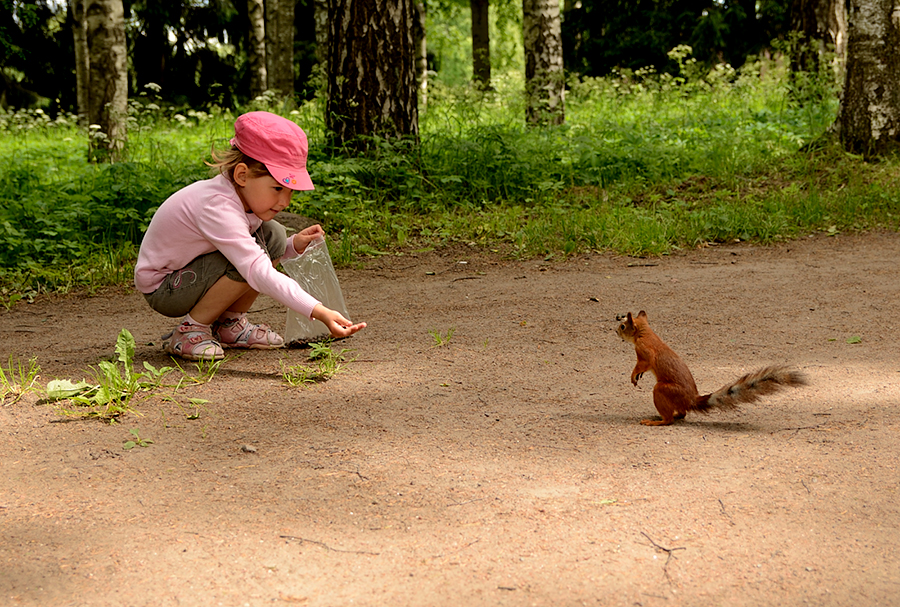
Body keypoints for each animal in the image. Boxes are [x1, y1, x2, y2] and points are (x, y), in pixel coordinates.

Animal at [616, 314, 804, 428]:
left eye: (623, 326)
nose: (615, 331)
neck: (645, 333)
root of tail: (690, 400)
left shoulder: (644, 352)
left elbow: (642, 364)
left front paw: (634, 376)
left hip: (662, 390)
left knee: (670, 419)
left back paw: (656, 421)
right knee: (682, 414)